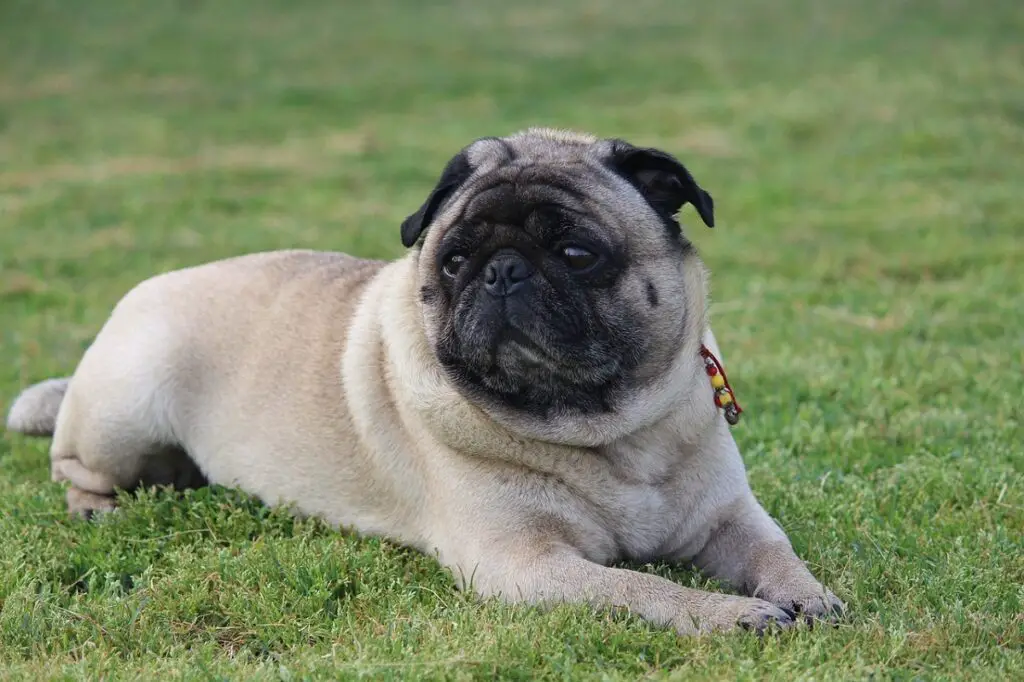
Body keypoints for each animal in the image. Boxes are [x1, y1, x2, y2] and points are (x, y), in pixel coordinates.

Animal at [4, 125, 843, 630]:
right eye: (455, 260)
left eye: (577, 254)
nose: (501, 272)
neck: (611, 435)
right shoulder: (526, 563)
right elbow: (645, 590)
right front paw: (729, 616)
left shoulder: (731, 521)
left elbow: (777, 554)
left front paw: (808, 597)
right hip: (127, 407)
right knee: (72, 464)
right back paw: (100, 509)